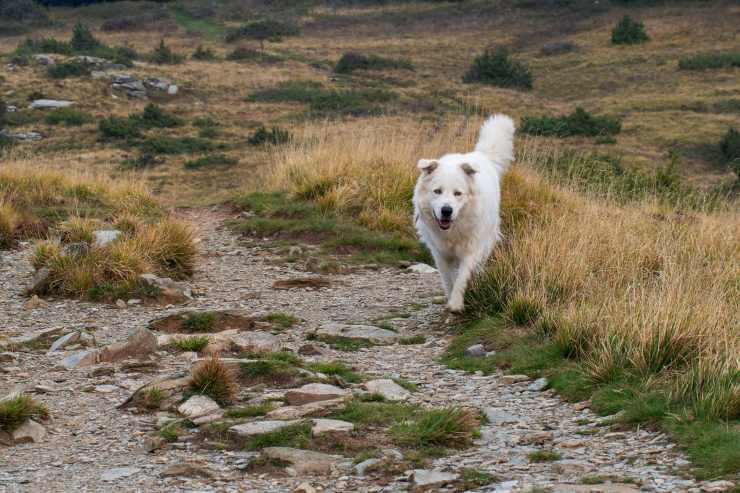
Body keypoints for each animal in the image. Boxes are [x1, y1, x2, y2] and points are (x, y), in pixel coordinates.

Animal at [414, 114, 516, 312]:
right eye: (437, 191)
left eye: (458, 193)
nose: (446, 210)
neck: (452, 230)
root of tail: (480, 155)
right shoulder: (440, 253)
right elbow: (448, 278)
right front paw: (450, 296)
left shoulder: (472, 249)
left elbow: (462, 277)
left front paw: (456, 304)